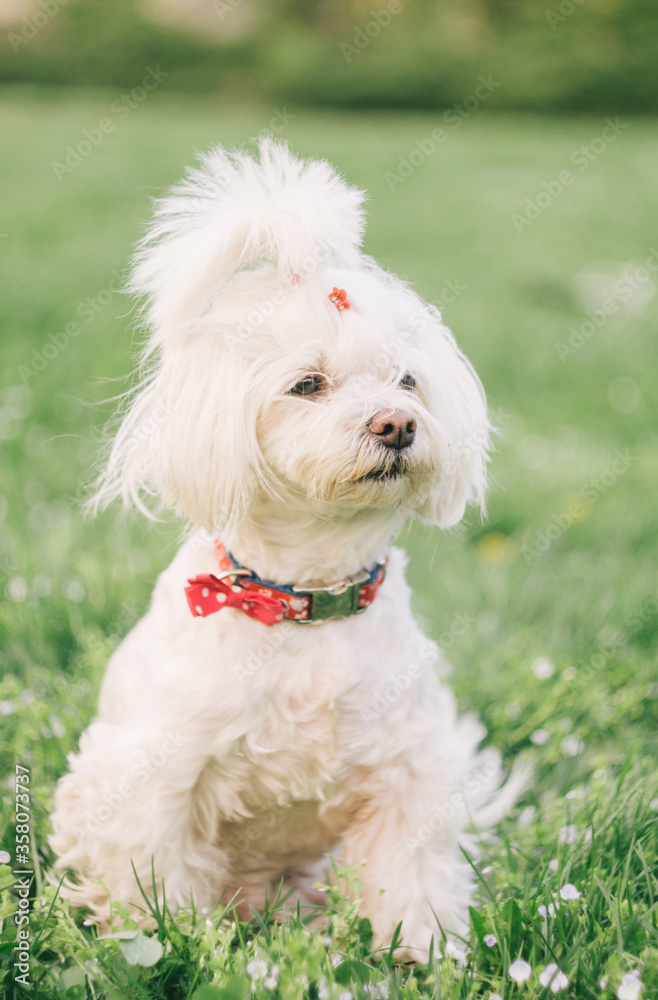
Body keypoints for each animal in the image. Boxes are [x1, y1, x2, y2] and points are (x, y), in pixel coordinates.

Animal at [50, 137, 524, 956]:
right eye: (307, 385)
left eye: (408, 381)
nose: (397, 424)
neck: (307, 599)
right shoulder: (154, 773)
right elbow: (156, 883)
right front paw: (171, 942)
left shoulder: (405, 772)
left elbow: (411, 881)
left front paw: (424, 956)